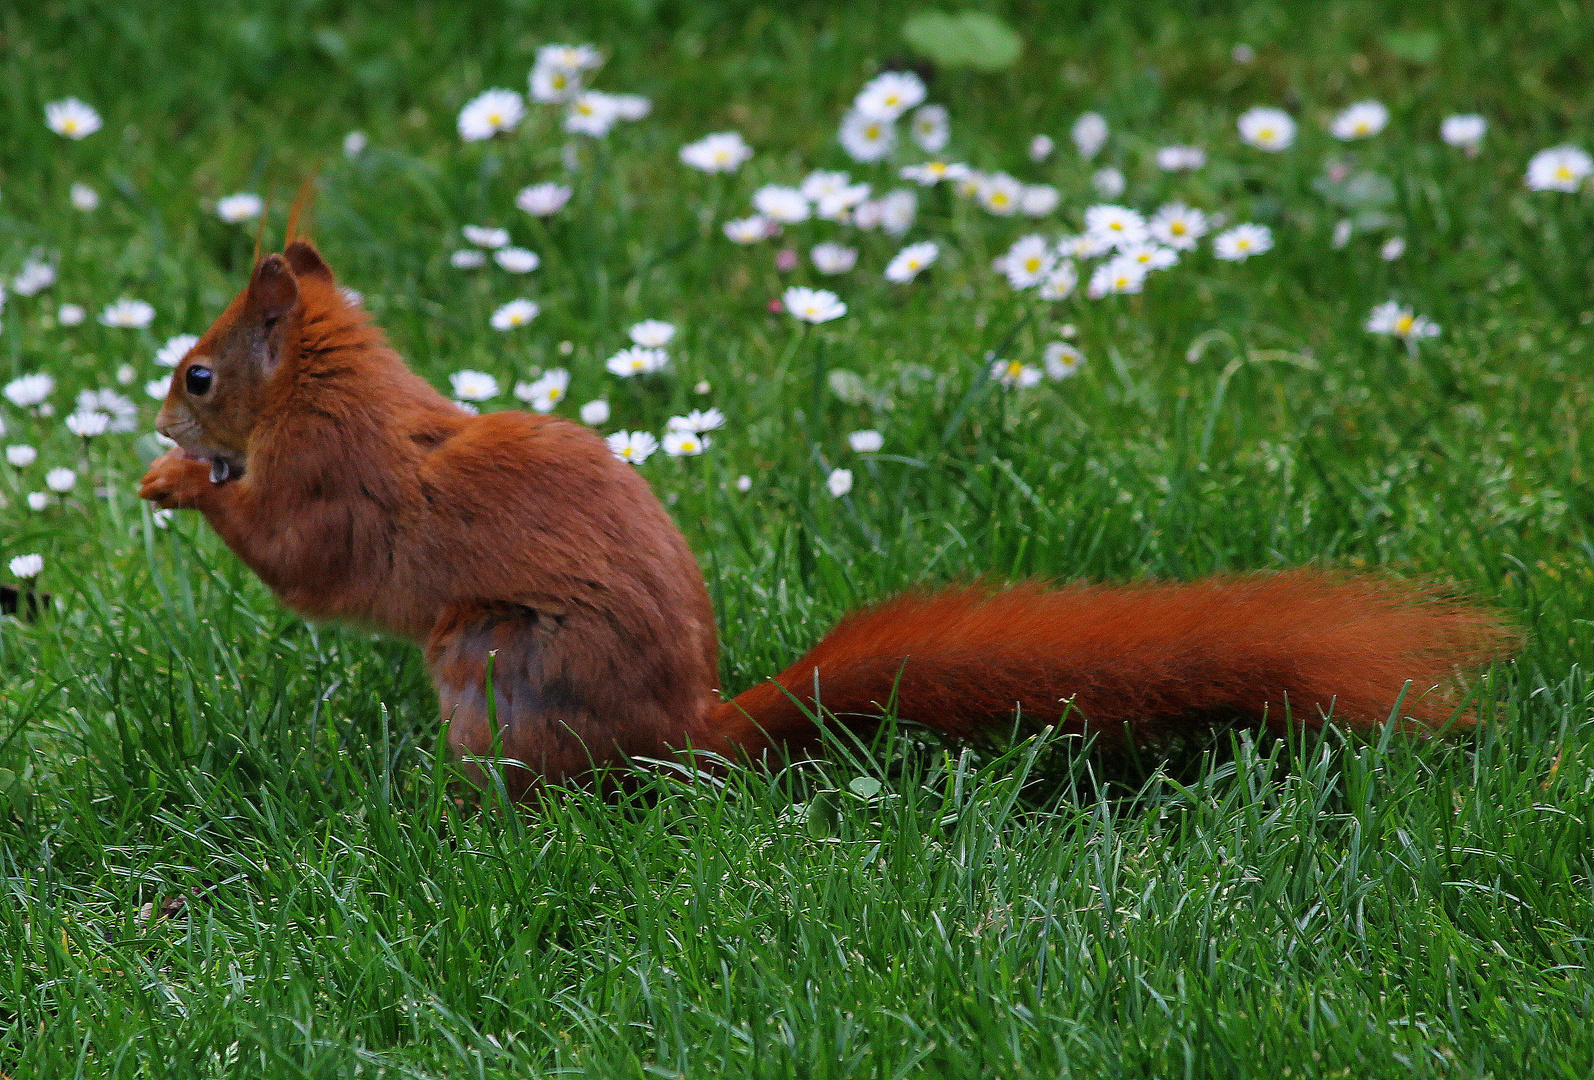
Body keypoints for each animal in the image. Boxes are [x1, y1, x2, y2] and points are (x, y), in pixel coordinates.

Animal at [133, 246, 1504, 802]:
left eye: (200, 376)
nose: (157, 418)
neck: (339, 395)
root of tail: (689, 735)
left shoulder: (334, 489)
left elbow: (301, 561)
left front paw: (179, 487)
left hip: (494, 658)